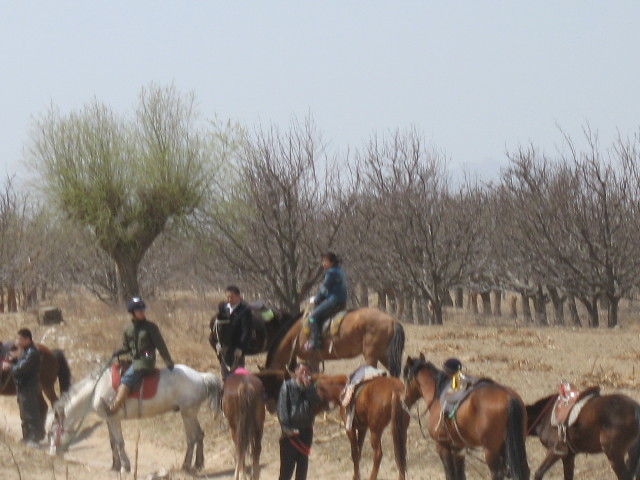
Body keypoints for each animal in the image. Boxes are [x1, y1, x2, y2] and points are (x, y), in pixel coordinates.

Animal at [48, 364, 221, 472]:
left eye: (51, 433)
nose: (51, 455)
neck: (96, 390)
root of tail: (201, 376)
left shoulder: (114, 419)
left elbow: (119, 443)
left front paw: (125, 466)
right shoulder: (109, 420)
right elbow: (113, 442)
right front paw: (115, 466)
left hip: (187, 413)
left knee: (192, 438)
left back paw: (186, 465)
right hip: (190, 413)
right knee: (199, 435)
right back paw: (198, 464)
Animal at [264, 308, 404, 378]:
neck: (296, 334)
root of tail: (392, 320)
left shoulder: (311, 359)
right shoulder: (314, 360)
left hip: (371, 355)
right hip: (383, 355)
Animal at [404, 352, 528, 480]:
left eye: (406, 378)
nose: (405, 401)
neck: (437, 396)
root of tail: (509, 397)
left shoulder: (442, 446)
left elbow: (450, 473)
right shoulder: (458, 448)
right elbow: (460, 474)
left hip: (490, 450)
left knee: (497, 473)